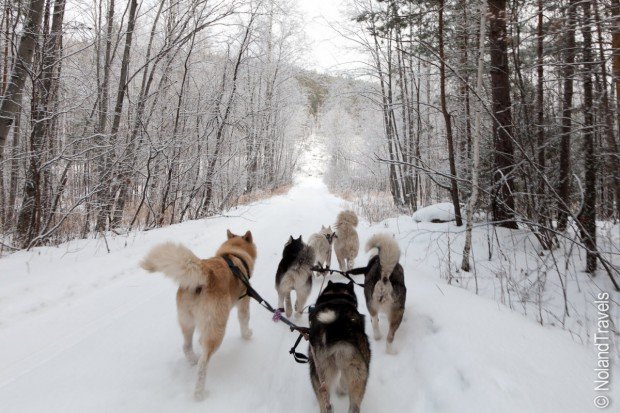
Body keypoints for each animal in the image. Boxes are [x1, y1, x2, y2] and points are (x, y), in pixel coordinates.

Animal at [140, 229, 256, 400]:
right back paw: (199, 392)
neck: (234, 253)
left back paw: (193, 359)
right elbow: (244, 320)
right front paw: (247, 335)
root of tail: (205, 274)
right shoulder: (244, 302)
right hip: (217, 329)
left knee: (187, 346)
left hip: (187, 323)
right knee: (203, 363)